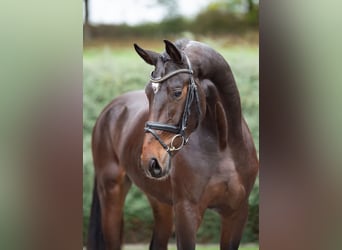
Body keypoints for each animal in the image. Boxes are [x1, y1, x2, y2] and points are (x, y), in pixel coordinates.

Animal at [88, 39, 260, 250]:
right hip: (111, 193)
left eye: (177, 92)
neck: (223, 146)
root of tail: (111, 109)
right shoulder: (187, 213)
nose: (150, 161)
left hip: (160, 203)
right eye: (148, 93)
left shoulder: (236, 214)